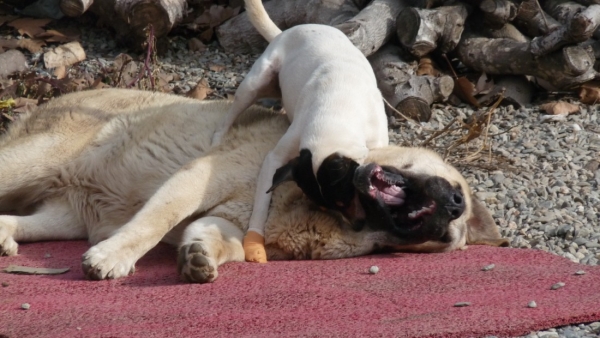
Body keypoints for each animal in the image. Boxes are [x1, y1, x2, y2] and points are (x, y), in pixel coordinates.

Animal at [0, 88, 508, 282]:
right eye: (458, 197)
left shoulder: (230, 223)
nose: (449, 210)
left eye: (447, 236)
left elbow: (220, 240)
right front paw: (113, 258)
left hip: (67, 216)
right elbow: (155, 220)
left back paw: (5, 237)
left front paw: (199, 257)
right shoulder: (196, 179)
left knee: (18, 218)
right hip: (31, 162)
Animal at [213, 0, 392, 262]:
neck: (335, 109)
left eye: (347, 197)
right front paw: (254, 243)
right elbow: (261, 203)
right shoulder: (276, 158)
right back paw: (218, 137)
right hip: (255, 82)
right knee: (232, 112)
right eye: (329, 206)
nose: (358, 225)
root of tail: (286, 32)